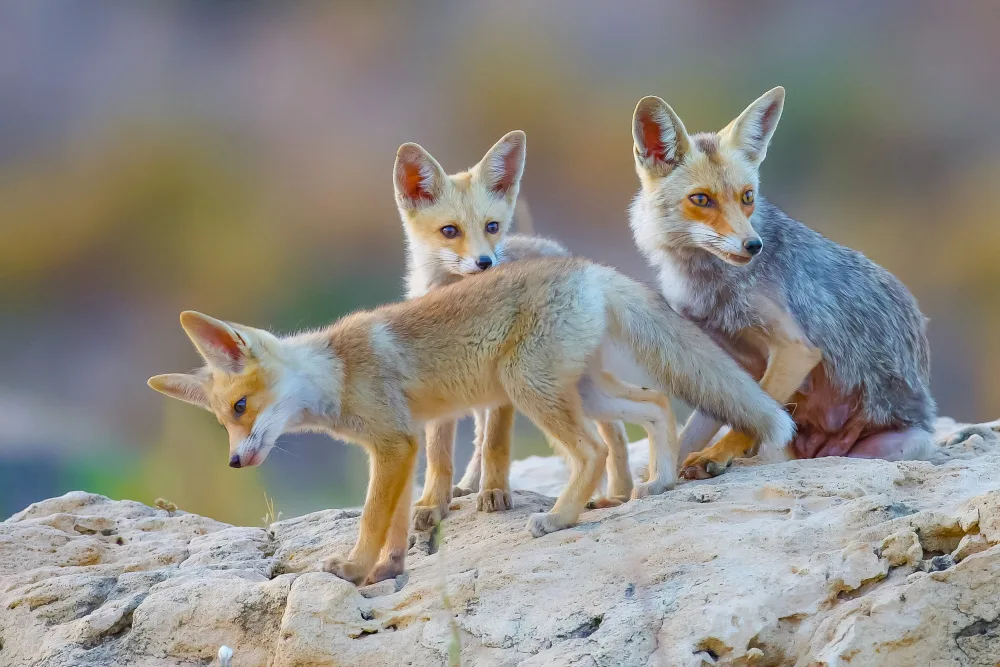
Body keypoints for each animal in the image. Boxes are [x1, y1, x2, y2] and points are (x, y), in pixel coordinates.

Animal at [147, 258, 793, 586]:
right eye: (224, 424)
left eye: (239, 409)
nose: (236, 460)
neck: (336, 371)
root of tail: (585, 267)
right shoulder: (403, 447)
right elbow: (398, 521)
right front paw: (387, 570)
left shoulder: (393, 443)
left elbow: (372, 519)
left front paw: (352, 568)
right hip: (587, 391)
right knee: (656, 403)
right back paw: (658, 482)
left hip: (530, 389)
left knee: (592, 451)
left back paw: (561, 517)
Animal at [394, 131, 640, 529]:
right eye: (450, 231)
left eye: (492, 227)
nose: (485, 262)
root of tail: (555, 249)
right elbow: (438, 453)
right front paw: (433, 503)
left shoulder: (502, 382)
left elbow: (496, 443)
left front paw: (495, 493)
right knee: (478, 439)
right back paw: (467, 485)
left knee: (613, 431)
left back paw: (617, 491)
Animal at [628, 86, 937, 479]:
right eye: (701, 199)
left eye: (748, 197)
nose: (753, 246)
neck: (707, 286)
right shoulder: (721, 358)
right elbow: (694, 431)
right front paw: (646, 485)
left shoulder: (796, 349)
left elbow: (751, 420)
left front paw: (716, 455)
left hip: (899, 446)